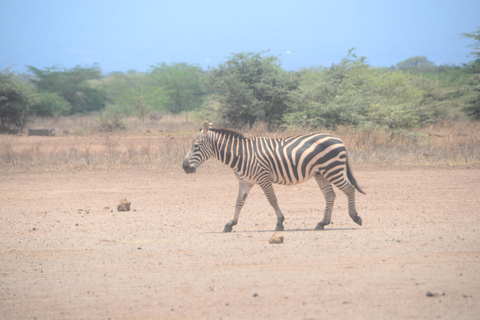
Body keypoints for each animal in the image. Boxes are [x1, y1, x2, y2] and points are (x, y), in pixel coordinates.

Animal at [182, 120, 366, 232]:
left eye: (196, 146)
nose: (184, 167)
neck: (242, 154)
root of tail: (338, 139)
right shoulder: (244, 182)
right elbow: (239, 203)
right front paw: (230, 224)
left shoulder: (263, 177)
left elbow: (272, 200)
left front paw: (280, 223)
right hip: (321, 173)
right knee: (330, 195)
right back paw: (322, 223)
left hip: (332, 169)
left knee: (349, 188)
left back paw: (355, 217)